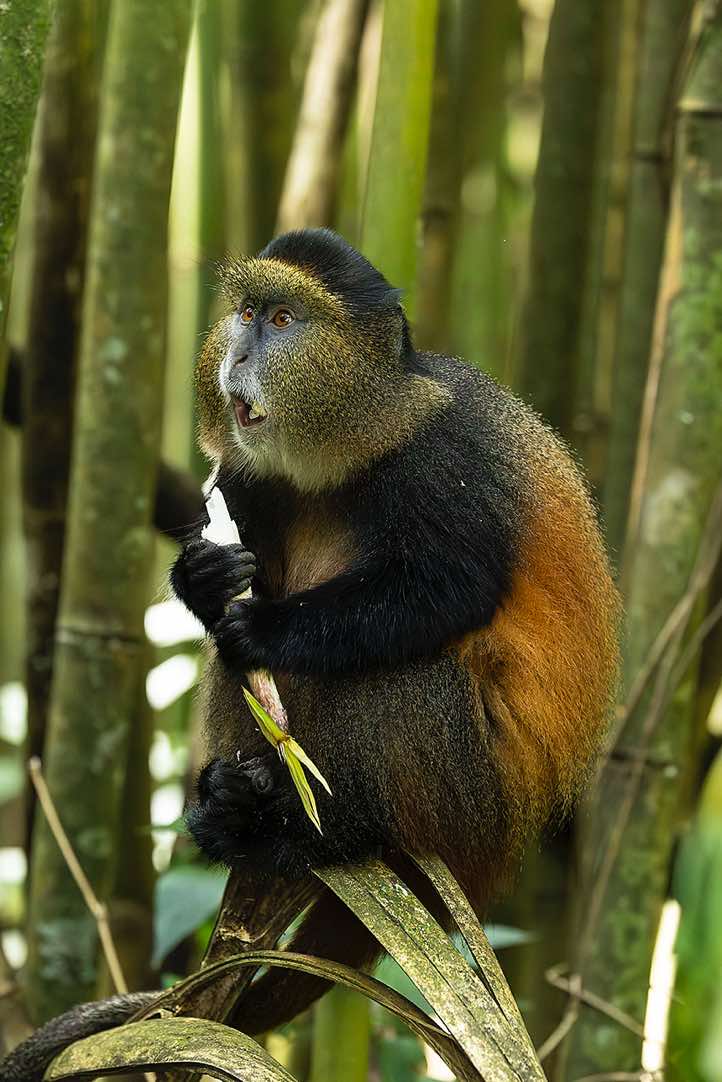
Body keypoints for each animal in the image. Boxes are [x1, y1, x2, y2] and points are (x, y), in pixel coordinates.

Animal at [1, 228, 619, 1080]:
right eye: (247, 313)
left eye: (285, 319)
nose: (238, 352)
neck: (363, 429)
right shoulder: (244, 476)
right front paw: (202, 580)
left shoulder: (446, 462)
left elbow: (445, 589)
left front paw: (263, 631)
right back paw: (233, 806)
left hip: (471, 792)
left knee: (407, 671)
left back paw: (324, 832)